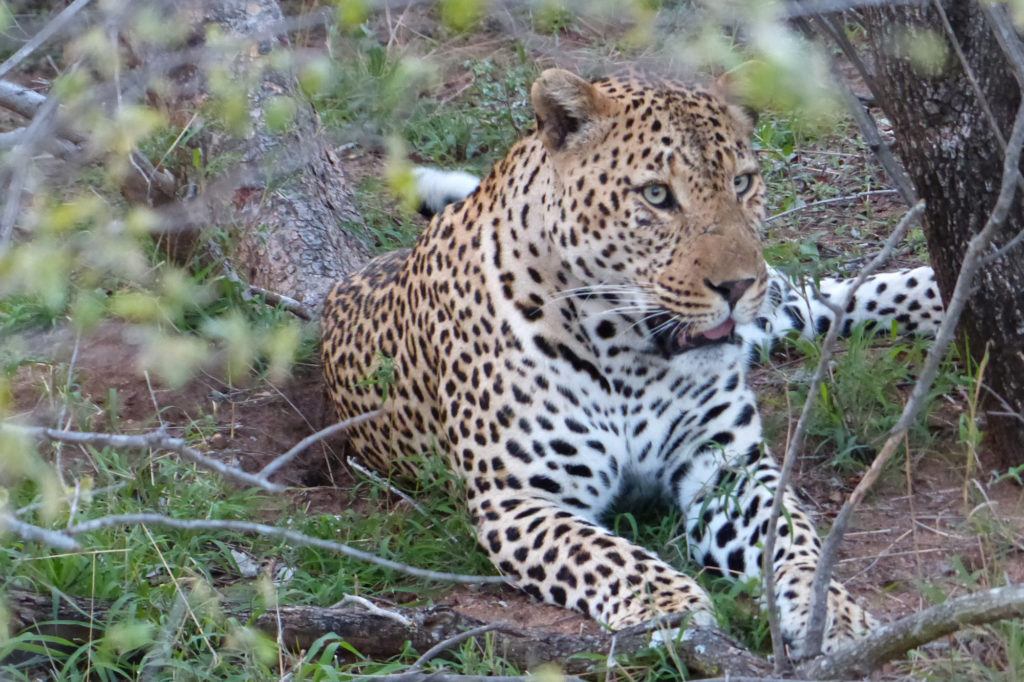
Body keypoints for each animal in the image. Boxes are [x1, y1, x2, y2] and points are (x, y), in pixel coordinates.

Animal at [321, 69, 945, 660]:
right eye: (657, 196)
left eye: (741, 183)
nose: (738, 285)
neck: (630, 356)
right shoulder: (518, 498)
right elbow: (605, 555)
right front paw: (671, 610)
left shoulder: (729, 464)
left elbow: (792, 540)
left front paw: (832, 611)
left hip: (780, 305)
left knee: (828, 294)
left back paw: (945, 288)